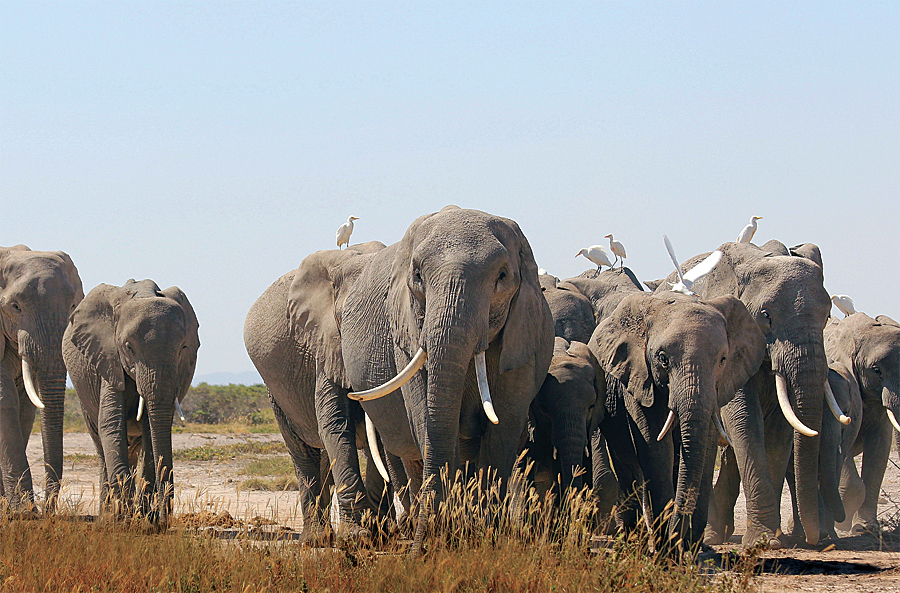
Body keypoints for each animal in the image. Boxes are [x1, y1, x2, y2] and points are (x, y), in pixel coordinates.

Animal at [0, 243, 83, 512]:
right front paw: (25, 513)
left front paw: (16, 510)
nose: (48, 509)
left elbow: (25, 405)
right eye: (15, 307)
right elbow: (5, 399)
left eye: (73, 306)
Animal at [62, 278, 200, 524]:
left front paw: (144, 517)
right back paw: (107, 514)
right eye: (129, 347)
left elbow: (150, 429)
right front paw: (125, 516)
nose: (164, 519)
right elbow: (110, 424)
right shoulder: (107, 356)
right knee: (100, 443)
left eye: (183, 347)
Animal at [336, 207, 552, 552]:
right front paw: (447, 539)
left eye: (502, 277)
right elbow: (427, 421)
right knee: (409, 454)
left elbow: (502, 430)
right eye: (418, 276)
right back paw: (416, 527)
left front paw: (485, 539)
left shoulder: (523, 332)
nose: (423, 549)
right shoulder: (406, 331)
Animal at [592, 290, 768, 548]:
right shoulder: (640, 379)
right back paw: (637, 540)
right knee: (627, 464)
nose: (680, 539)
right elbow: (655, 448)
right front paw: (668, 548)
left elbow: (705, 448)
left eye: (723, 359)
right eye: (663, 359)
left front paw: (689, 547)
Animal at [660, 238, 836, 544]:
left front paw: (772, 538)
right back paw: (712, 537)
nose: (817, 540)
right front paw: (765, 539)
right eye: (766, 316)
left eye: (827, 315)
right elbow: (744, 419)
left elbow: (778, 431)